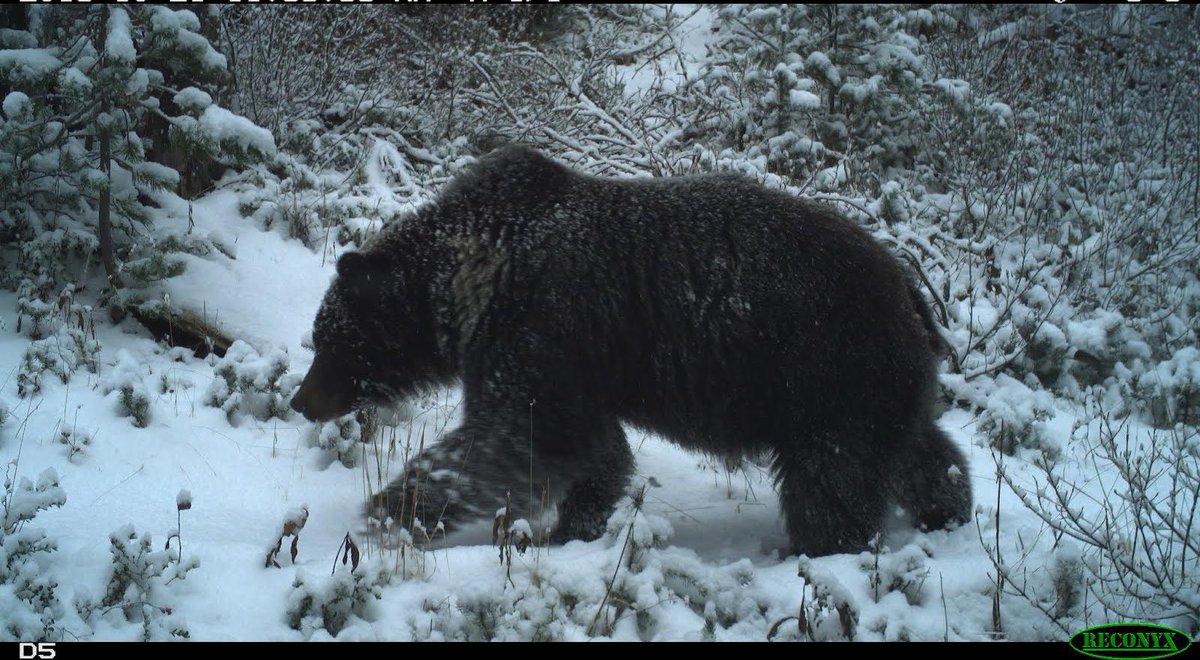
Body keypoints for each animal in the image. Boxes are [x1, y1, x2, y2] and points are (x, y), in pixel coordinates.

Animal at [289, 145, 972, 556]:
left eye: (331, 342)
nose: (301, 400)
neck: (473, 281)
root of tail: (911, 289)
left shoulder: (539, 330)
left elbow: (519, 439)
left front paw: (390, 508)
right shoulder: (573, 366)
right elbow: (594, 450)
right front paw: (572, 526)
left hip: (826, 368)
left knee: (831, 475)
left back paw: (815, 547)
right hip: (874, 382)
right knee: (917, 452)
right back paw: (948, 507)